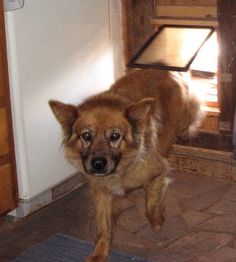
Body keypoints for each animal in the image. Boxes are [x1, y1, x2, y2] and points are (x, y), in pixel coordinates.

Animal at [48, 68, 202, 260]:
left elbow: (150, 206)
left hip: (180, 124)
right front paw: (99, 253)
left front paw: (158, 219)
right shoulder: (101, 191)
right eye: (86, 136)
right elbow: (103, 226)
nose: (98, 164)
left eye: (115, 136)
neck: (120, 169)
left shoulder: (157, 172)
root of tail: (164, 70)